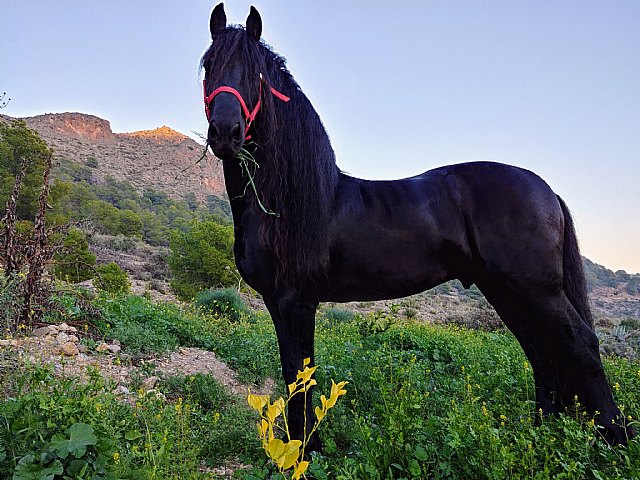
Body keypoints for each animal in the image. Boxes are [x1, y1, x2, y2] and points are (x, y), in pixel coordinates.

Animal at [200, 3, 633, 449]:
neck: (288, 202)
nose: (226, 133)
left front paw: (305, 449)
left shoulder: (295, 299)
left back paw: (616, 435)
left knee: (581, 343)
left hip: (537, 290)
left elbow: (299, 374)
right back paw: (540, 433)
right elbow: (295, 374)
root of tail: (547, 190)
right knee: (541, 349)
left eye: (256, 73)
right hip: (507, 291)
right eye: (208, 65)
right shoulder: (279, 302)